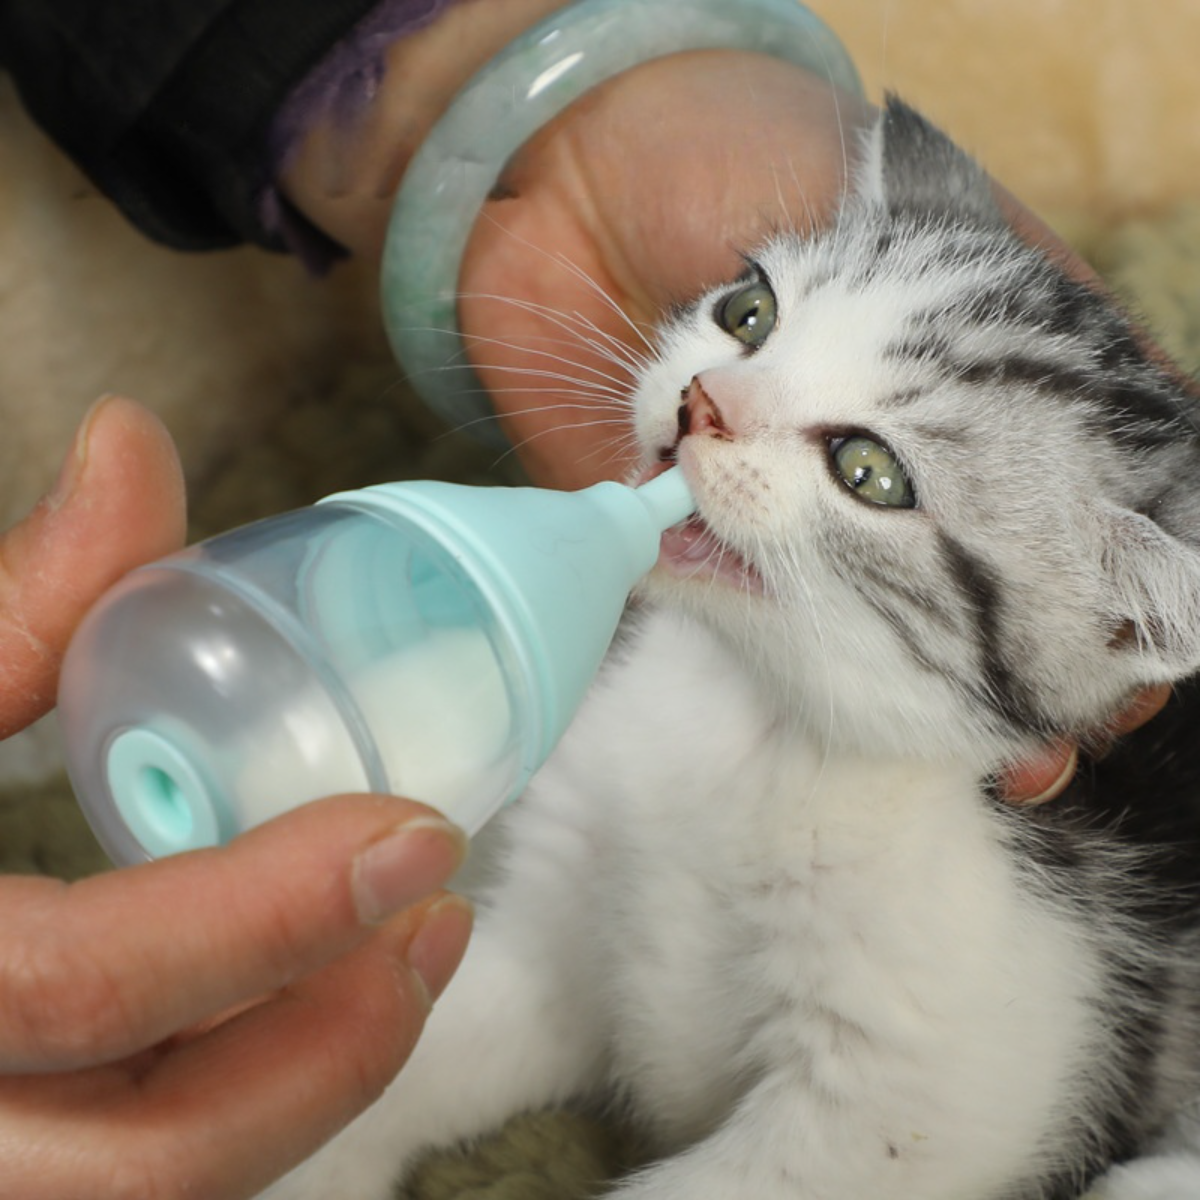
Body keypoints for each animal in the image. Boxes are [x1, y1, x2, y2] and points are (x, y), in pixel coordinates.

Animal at [267, 100, 1200, 1200]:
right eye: (748, 314)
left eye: (868, 471)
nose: (701, 404)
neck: (749, 729)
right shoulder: (554, 931)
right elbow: (421, 1050)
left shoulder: (915, 1097)